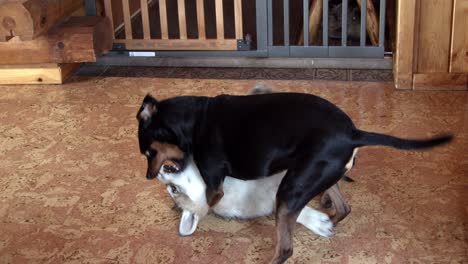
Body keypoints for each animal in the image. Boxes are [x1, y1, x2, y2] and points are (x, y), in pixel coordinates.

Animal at [137, 90, 452, 262]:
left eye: (148, 152)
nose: (150, 177)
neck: (196, 120)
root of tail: (354, 134)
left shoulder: (214, 185)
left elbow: (212, 198)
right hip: (313, 173)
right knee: (342, 208)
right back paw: (327, 219)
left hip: (290, 190)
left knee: (286, 249)